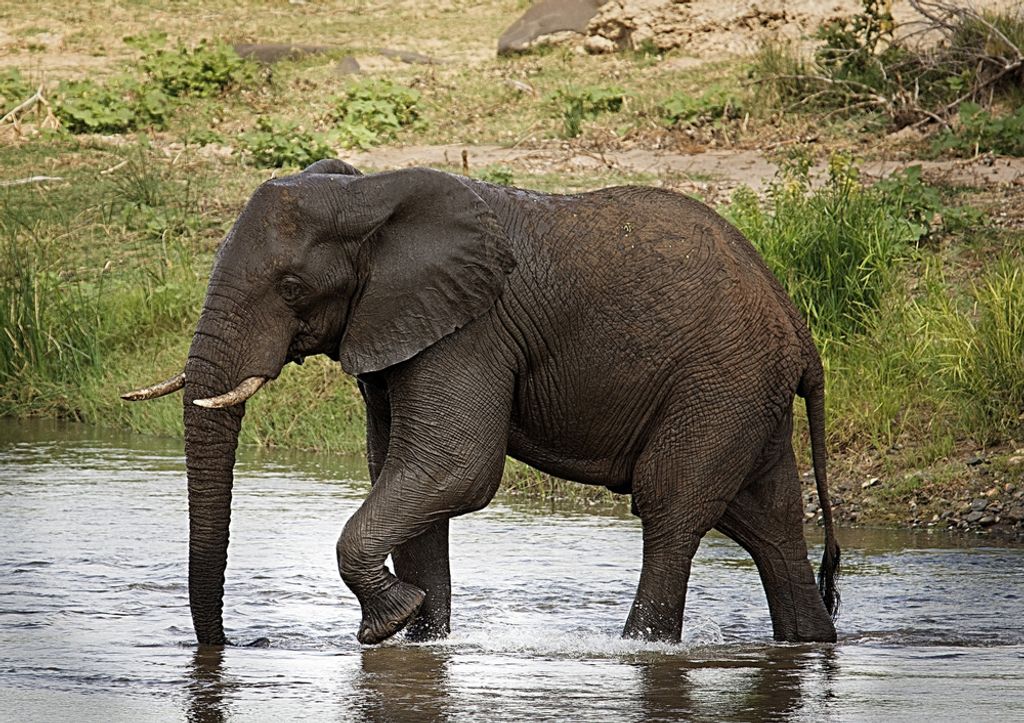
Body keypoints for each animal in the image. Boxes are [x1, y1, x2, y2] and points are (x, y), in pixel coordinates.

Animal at [124, 158, 841, 647]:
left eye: (292, 286)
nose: (244, 642)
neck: (370, 194)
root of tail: (800, 332)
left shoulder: (471, 329)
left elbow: (452, 468)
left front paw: (387, 624)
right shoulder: (396, 323)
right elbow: (402, 472)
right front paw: (419, 638)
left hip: (719, 380)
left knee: (672, 506)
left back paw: (641, 648)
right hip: (743, 390)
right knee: (766, 520)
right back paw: (810, 643)